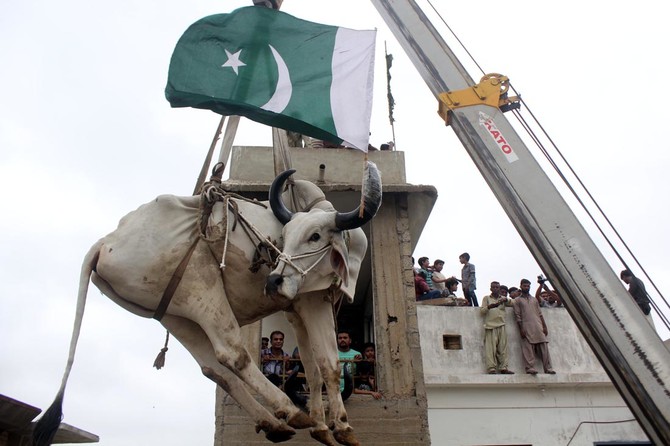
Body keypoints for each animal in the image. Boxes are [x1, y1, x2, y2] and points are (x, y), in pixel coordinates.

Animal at [33, 162, 382, 446]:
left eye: (314, 236)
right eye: (285, 236)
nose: (273, 282)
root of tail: (104, 244)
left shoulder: (296, 309)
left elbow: (310, 368)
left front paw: (322, 429)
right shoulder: (313, 303)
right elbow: (328, 364)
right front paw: (341, 428)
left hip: (175, 315)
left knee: (214, 368)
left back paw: (272, 423)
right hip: (203, 290)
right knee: (233, 354)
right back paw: (288, 412)